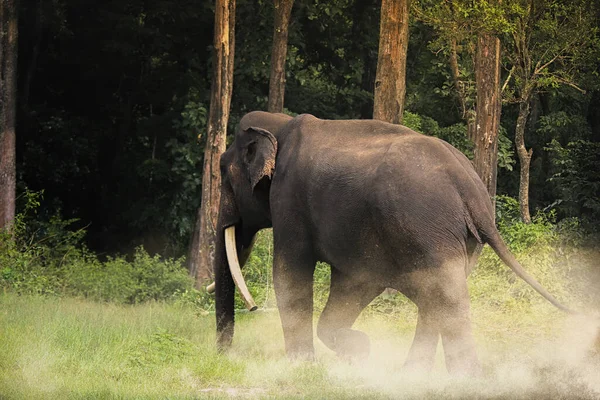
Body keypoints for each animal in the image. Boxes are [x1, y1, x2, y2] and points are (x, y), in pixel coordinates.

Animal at [212, 111, 572, 376]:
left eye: (222, 171)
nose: (224, 355)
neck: (280, 124)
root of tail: (471, 188)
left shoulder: (290, 201)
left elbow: (290, 274)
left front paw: (305, 366)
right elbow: (353, 283)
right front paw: (360, 352)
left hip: (428, 229)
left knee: (445, 297)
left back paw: (463, 380)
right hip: (455, 240)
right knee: (435, 297)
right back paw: (413, 375)